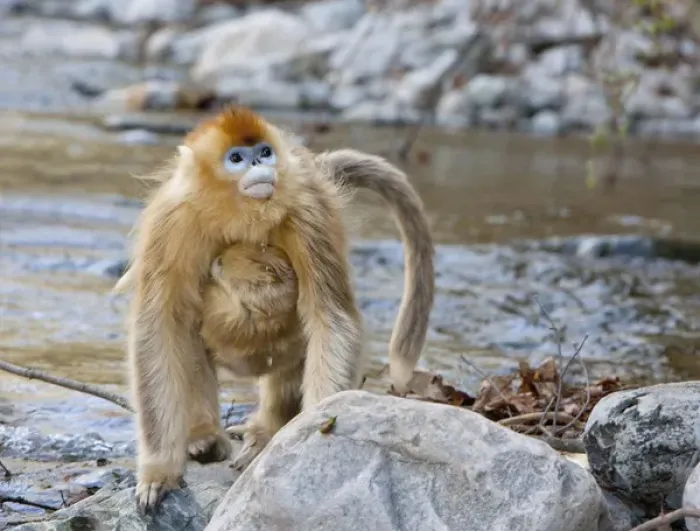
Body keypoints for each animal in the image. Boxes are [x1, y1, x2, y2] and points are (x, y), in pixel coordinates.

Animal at [119, 105, 434, 512]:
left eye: (264, 152)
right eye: (237, 158)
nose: (259, 165)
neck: (240, 215)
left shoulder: (307, 213)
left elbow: (331, 319)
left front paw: (315, 433)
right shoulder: (174, 221)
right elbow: (158, 327)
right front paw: (159, 471)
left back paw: (266, 432)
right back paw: (204, 435)